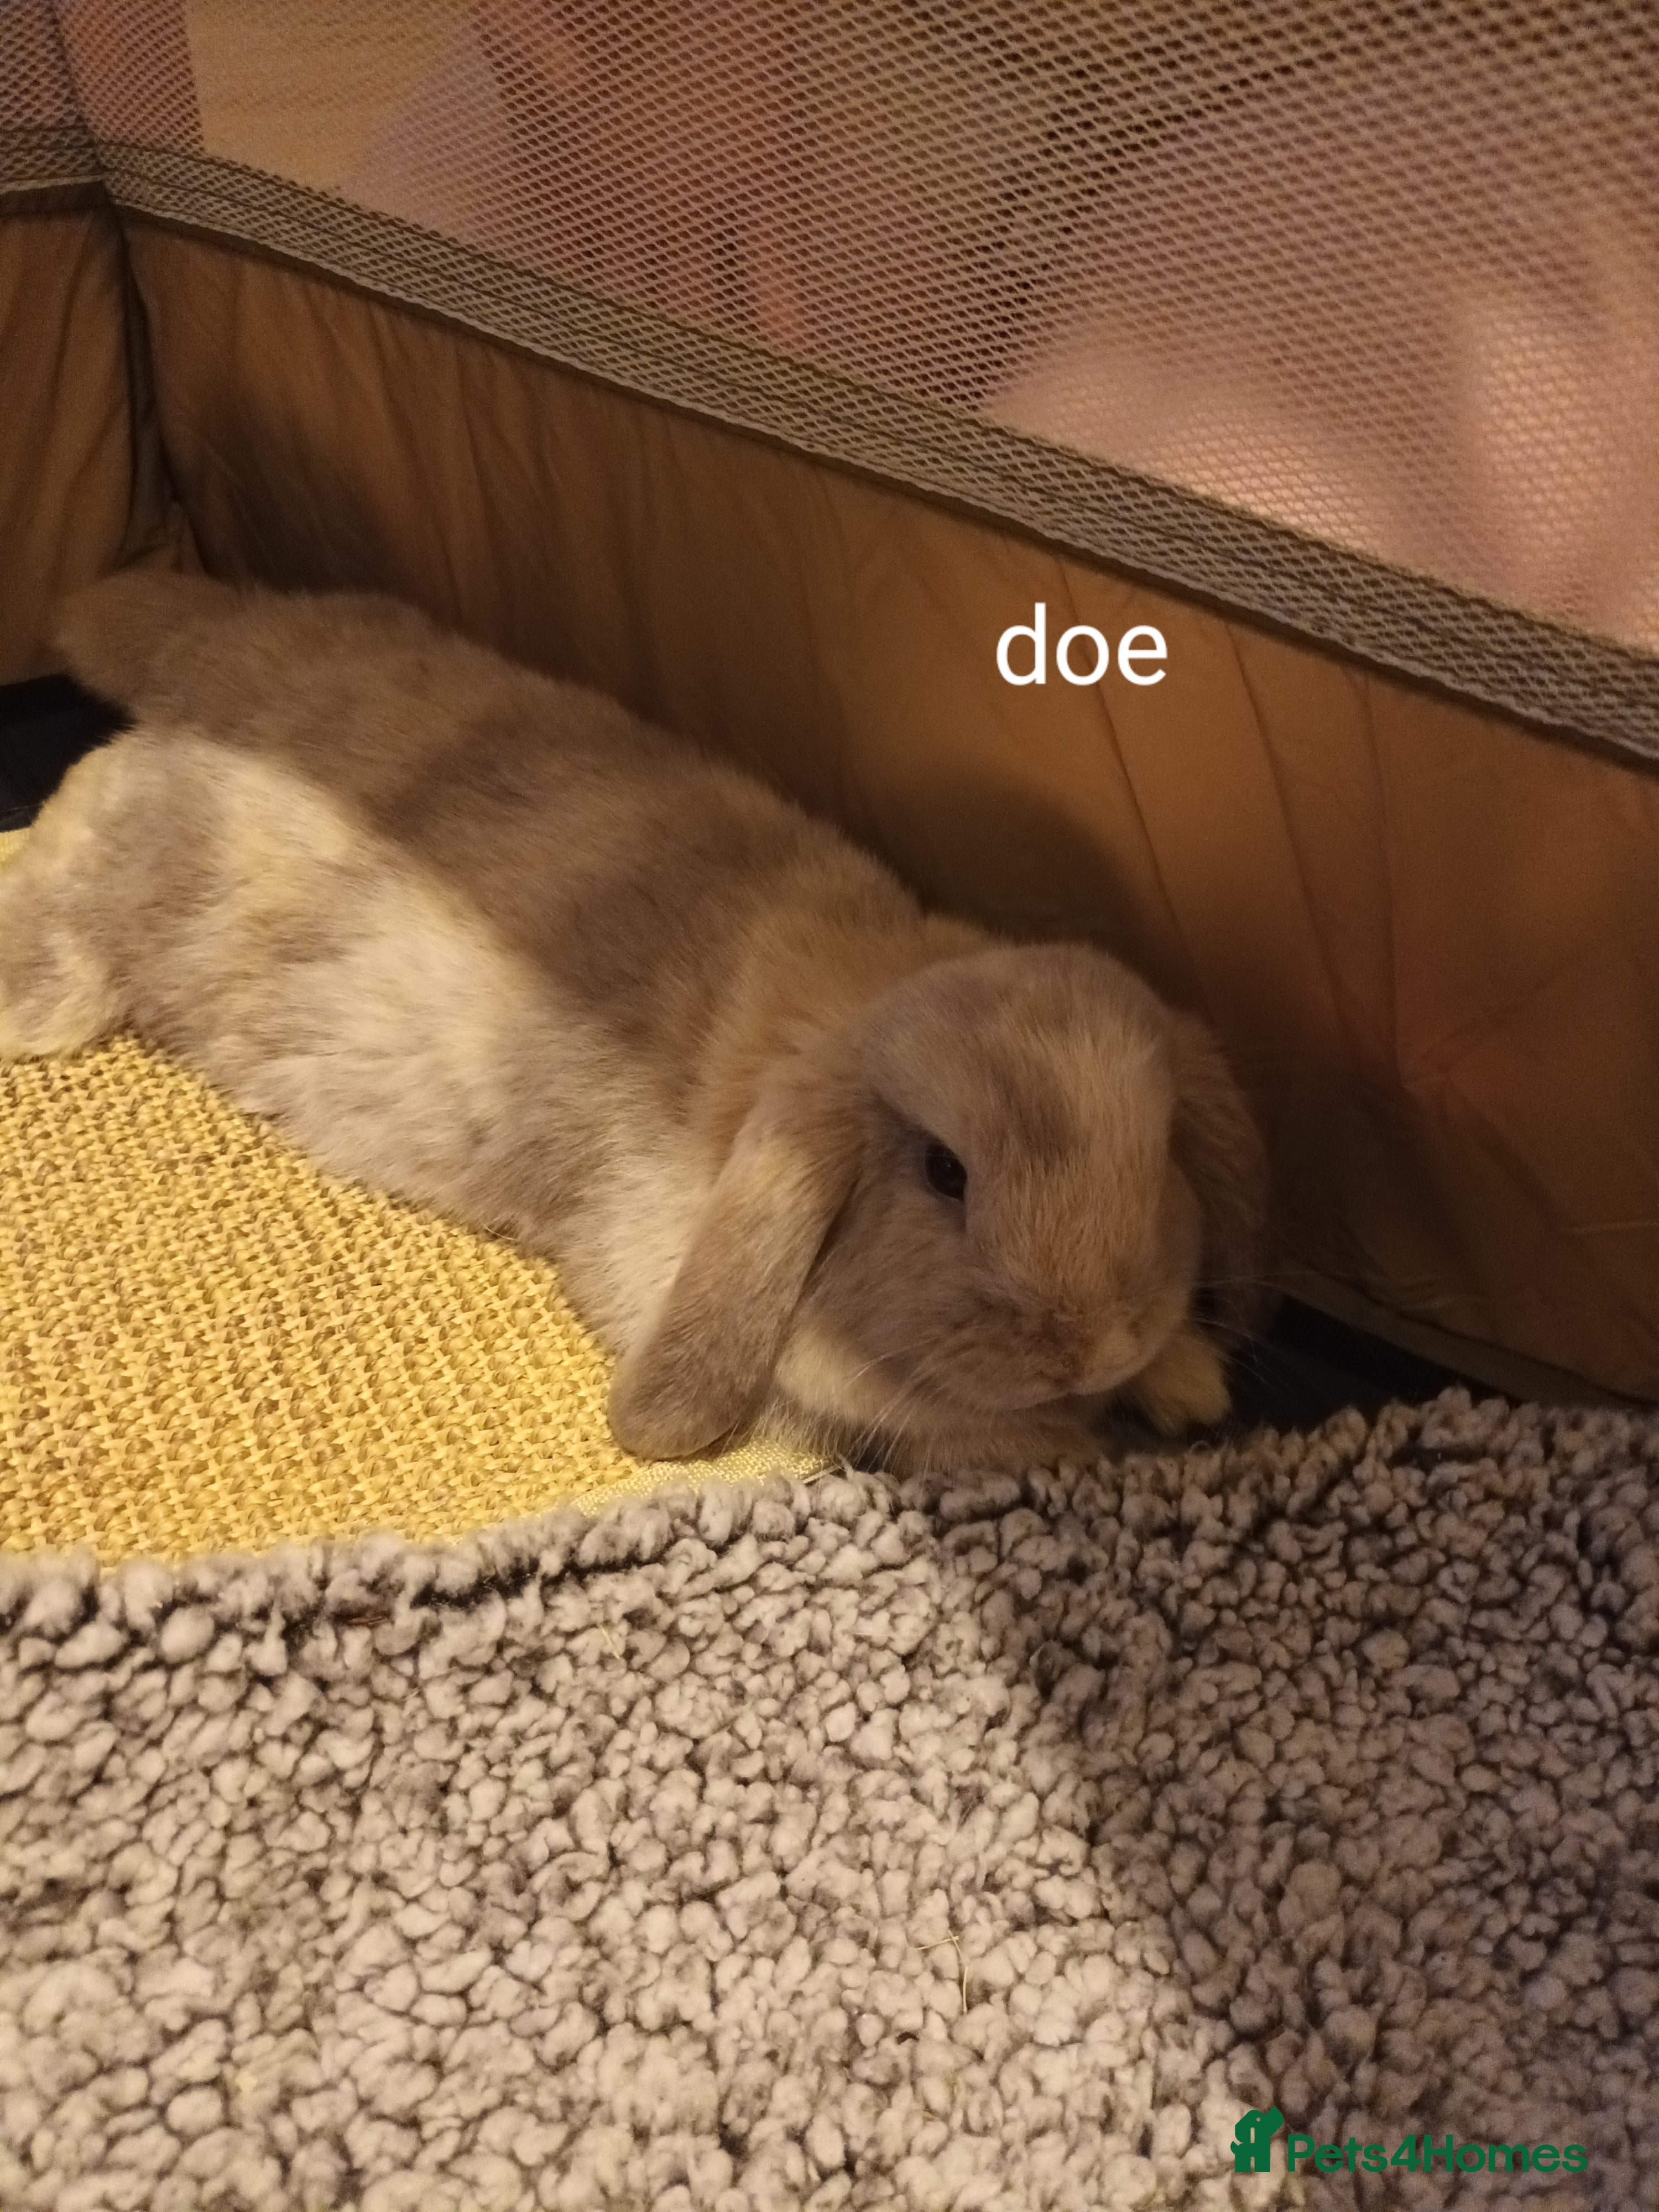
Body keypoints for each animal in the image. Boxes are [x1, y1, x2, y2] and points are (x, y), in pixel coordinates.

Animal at [1, 572, 1271, 1473]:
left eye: (1158, 1151)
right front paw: (1081, 1434)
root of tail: (212, 659)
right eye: (943, 1173)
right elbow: (933, 1425)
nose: (1089, 1341)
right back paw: (32, 998)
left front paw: (1181, 1380)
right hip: (156, 862)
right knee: (78, 817)